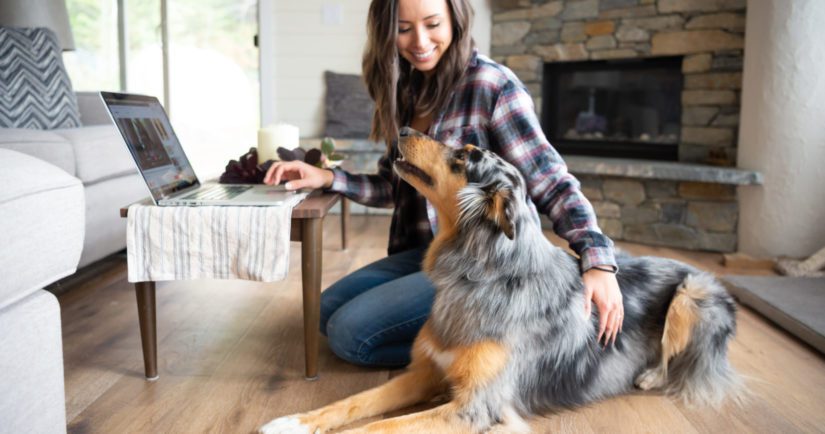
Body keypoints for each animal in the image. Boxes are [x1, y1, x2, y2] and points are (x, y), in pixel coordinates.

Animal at [260, 127, 740, 432]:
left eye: (465, 156)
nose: (403, 126)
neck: (479, 273)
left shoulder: (476, 407)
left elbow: (379, 428)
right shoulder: (425, 373)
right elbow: (352, 403)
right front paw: (291, 422)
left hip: (692, 296)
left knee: (678, 360)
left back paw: (650, 377)